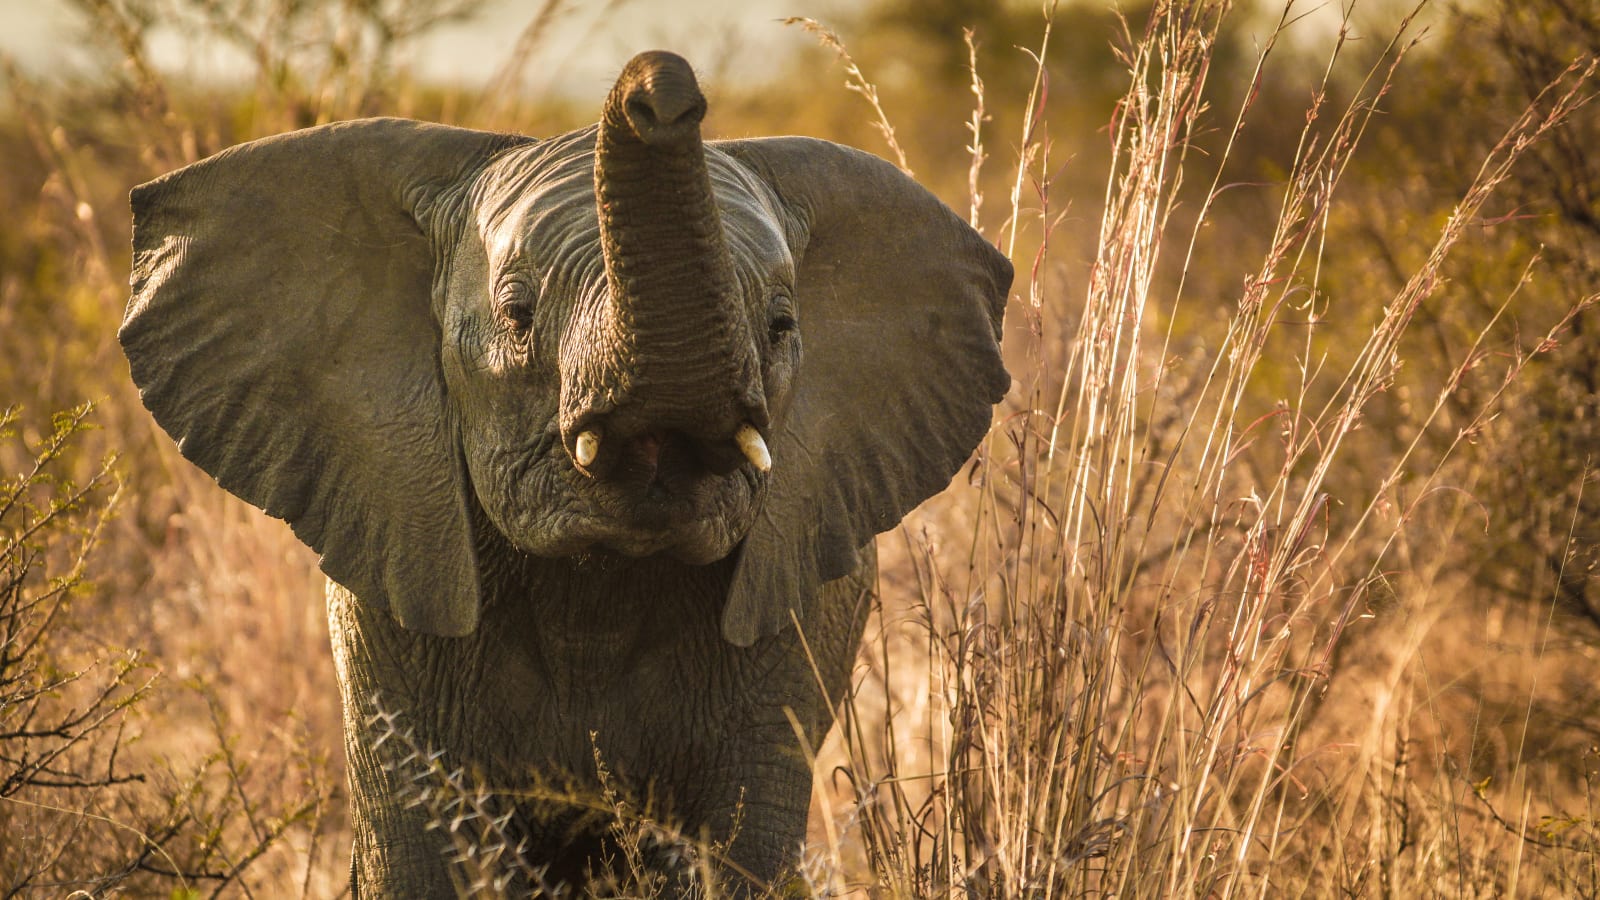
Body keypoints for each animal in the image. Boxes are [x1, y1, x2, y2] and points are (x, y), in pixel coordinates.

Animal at [120, 51, 1010, 895]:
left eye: (783, 326)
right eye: (516, 314)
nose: (660, 92)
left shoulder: (798, 631)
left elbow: (736, 846)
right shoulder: (389, 595)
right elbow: (418, 855)